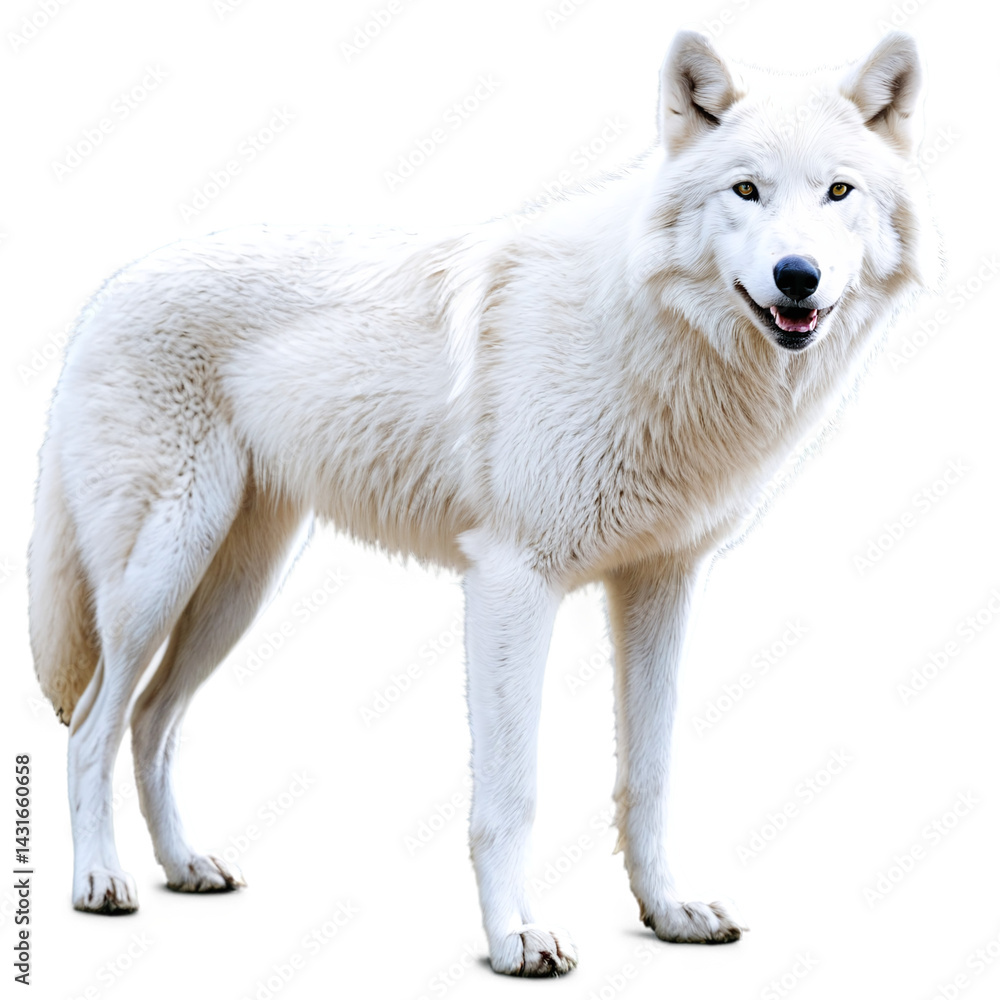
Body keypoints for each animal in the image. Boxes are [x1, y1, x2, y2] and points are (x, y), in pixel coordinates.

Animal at [28, 29, 934, 976]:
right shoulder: (510, 582)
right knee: (91, 723)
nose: (798, 278)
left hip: (236, 590)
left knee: (151, 722)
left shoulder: (660, 584)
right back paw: (100, 882)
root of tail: (107, 291)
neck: (648, 340)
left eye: (839, 192)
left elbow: (649, 777)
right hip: (160, 575)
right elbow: (513, 792)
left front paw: (668, 912)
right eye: (746, 190)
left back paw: (185, 867)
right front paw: (518, 937)